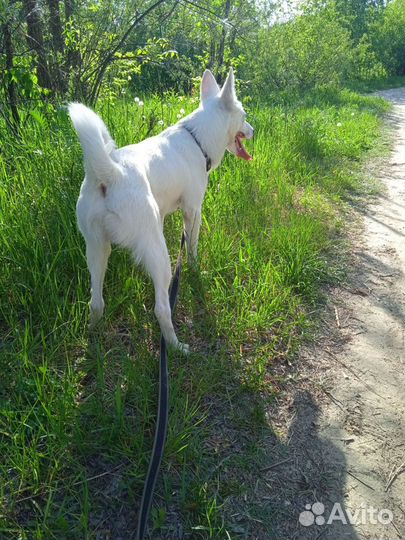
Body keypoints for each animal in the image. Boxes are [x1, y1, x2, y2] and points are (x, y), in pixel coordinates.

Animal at [69, 67, 252, 352]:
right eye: (244, 116)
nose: (253, 130)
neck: (196, 138)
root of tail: (111, 174)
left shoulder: (165, 214)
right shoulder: (193, 211)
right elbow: (192, 247)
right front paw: (195, 269)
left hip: (97, 248)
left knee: (96, 302)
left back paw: (93, 334)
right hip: (158, 254)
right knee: (161, 309)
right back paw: (177, 346)